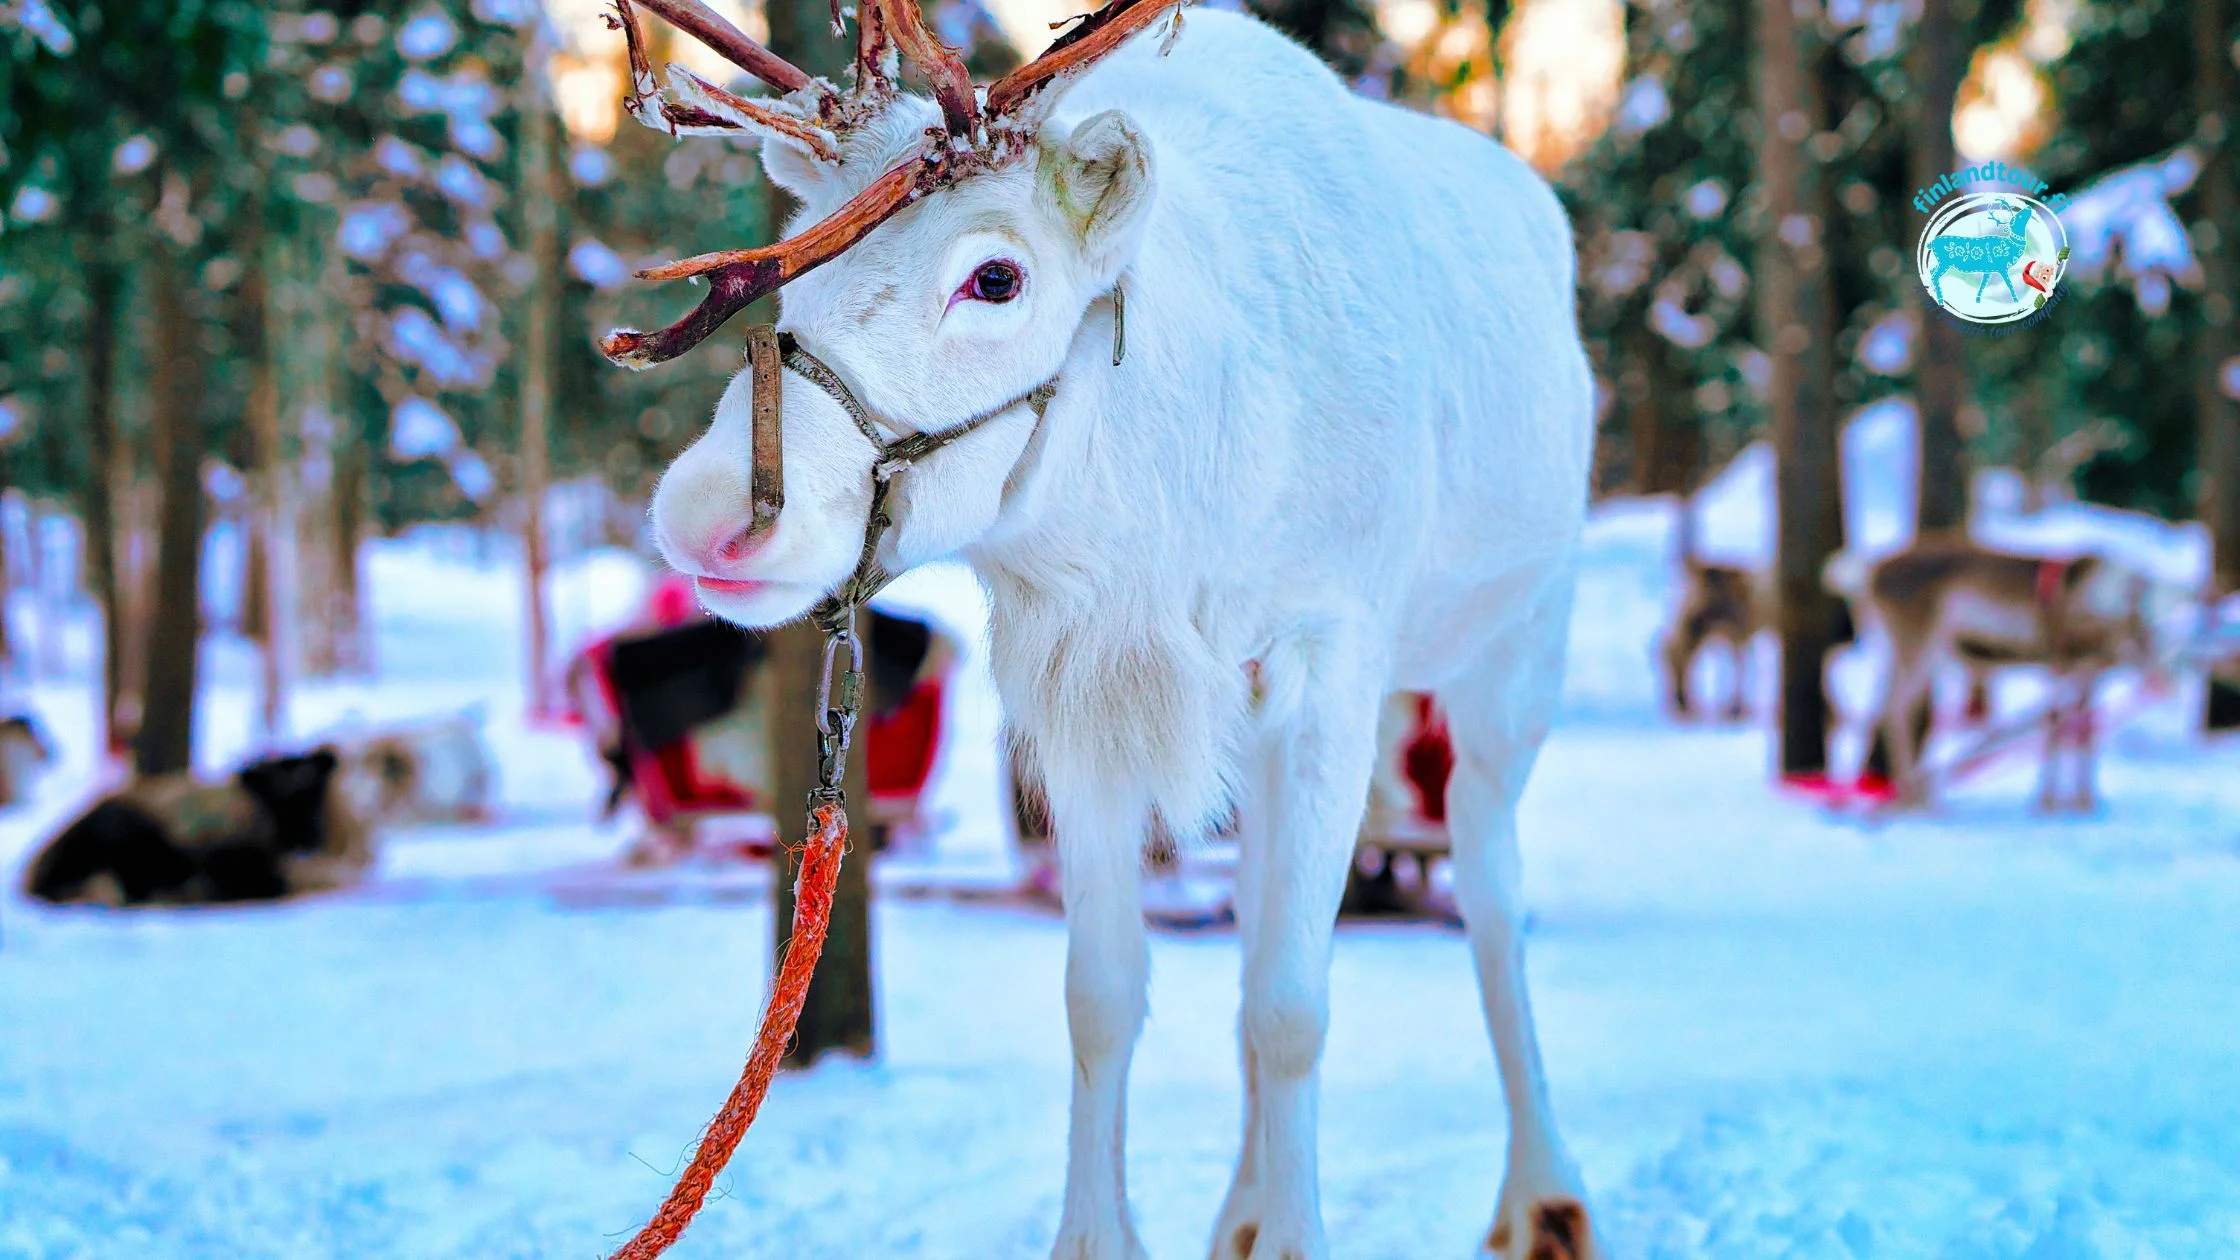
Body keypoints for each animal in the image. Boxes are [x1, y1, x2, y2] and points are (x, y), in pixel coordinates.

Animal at [607, 1, 1599, 1256]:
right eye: (798, 255)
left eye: (995, 277)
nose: (704, 513)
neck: (1165, 521)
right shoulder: (1085, 699)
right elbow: (1103, 997)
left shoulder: (1334, 657)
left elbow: (1293, 1007)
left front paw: (1301, 1229)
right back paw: (1242, 1215)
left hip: (1513, 647)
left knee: (1489, 898)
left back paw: (1541, 1194)